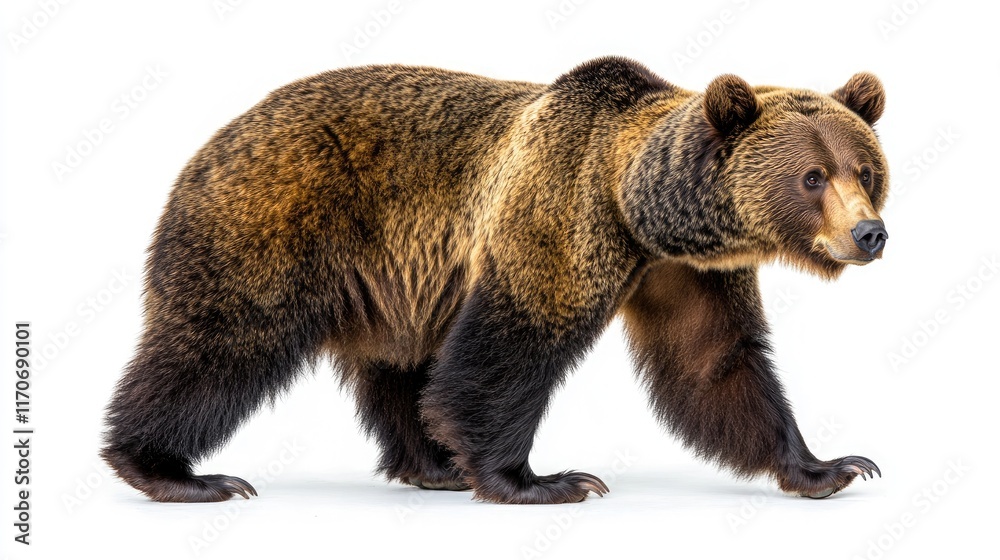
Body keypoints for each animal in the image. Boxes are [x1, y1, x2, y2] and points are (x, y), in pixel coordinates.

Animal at [101, 56, 888, 504]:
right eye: (812, 176)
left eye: (865, 169)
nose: (870, 233)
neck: (643, 213)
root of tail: (215, 136)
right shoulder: (561, 210)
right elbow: (513, 344)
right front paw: (542, 480)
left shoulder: (688, 272)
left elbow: (715, 363)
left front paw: (830, 466)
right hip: (278, 215)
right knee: (223, 341)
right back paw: (173, 470)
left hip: (392, 278)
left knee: (400, 364)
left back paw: (432, 466)